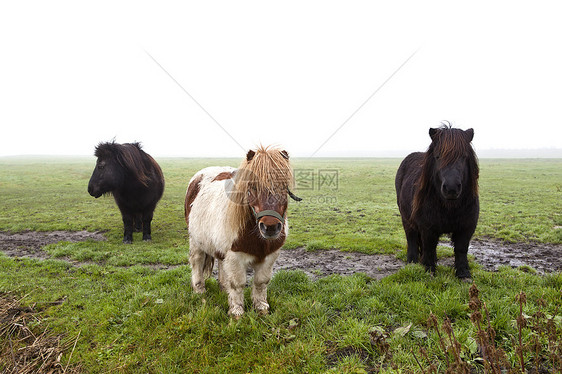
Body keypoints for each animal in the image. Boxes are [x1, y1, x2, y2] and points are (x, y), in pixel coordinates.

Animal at [185, 145, 298, 318]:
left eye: (283, 186)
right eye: (252, 186)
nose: (270, 227)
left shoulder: (269, 256)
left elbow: (261, 282)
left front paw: (261, 307)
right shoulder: (234, 256)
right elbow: (237, 284)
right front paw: (237, 312)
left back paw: (222, 289)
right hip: (195, 241)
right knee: (197, 261)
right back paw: (199, 291)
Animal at [394, 125, 476, 278]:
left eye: (464, 157)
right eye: (438, 156)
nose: (451, 188)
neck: (449, 206)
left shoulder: (466, 227)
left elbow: (461, 249)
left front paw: (463, 272)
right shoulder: (428, 228)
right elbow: (429, 247)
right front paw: (429, 270)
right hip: (407, 219)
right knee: (412, 239)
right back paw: (412, 262)